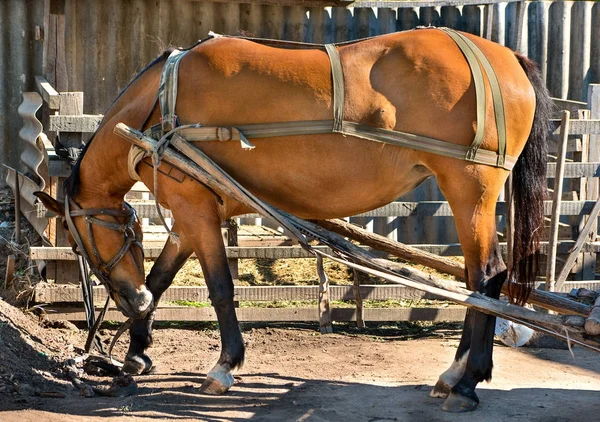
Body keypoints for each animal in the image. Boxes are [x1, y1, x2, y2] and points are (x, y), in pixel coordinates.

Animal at [36, 28, 552, 414]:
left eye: (77, 241)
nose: (128, 298)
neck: (161, 107)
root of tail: (504, 56)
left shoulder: (196, 209)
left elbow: (220, 289)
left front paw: (224, 366)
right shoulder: (188, 211)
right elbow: (161, 280)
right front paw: (136, 353)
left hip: (469, 188)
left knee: (486, 278)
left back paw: (466, 383)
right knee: (477, 282)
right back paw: (454, 375)